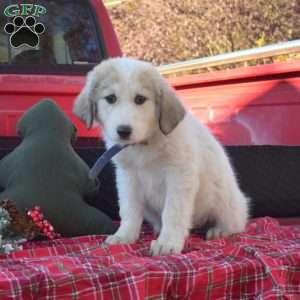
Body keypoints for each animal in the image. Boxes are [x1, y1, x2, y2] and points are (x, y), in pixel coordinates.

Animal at [72, 56, 248, 255]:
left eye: (140, 99)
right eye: (111, 98)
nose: (123, 131)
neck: (145, 144)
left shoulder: (180, 175)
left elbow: (173, 211)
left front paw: (168, 242)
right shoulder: (128, 177)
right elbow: (129, 209)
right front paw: (125, 235)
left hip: (225, 202)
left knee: (236, 223)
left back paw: (219, 230)